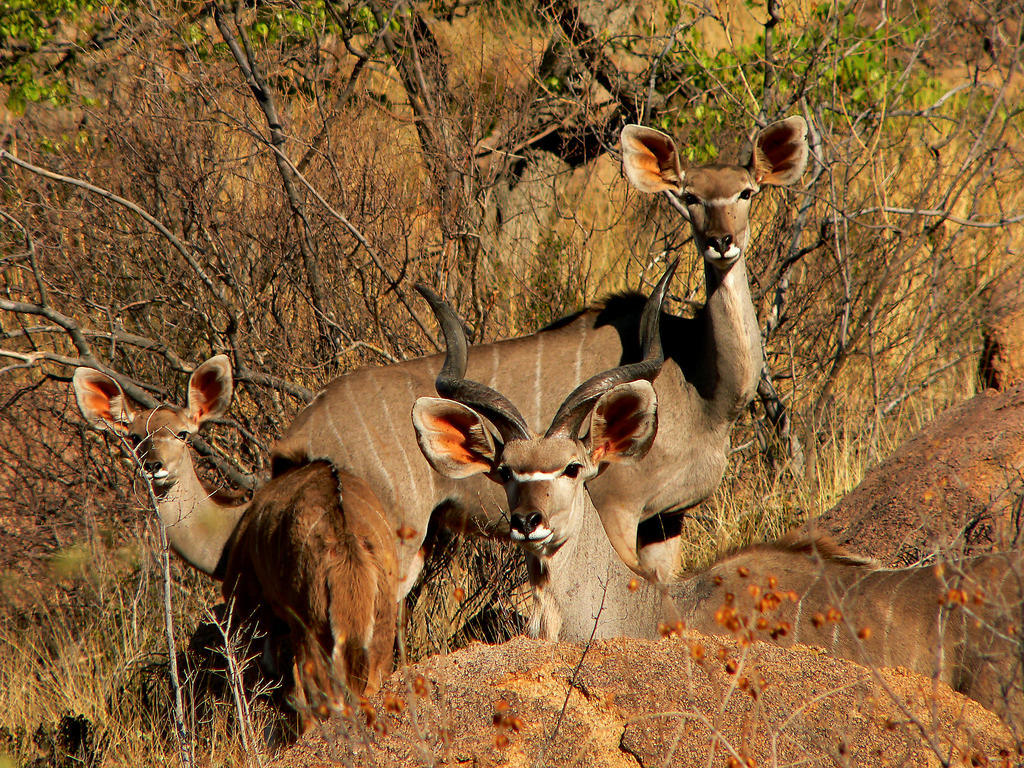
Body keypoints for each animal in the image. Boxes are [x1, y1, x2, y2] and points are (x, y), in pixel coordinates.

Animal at [71, 358, 395, 729]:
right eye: (136, 436)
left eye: (183, 433)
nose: (154, 466)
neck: (229, 533)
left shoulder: (249, 606)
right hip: (381, 619)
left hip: (309, 624)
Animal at [270, 117, 806, 589]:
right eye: (690, 196)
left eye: (747, 192)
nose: (721, 242)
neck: (701, 387)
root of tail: (299, 433)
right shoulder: (617, 507)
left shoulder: (666, 520)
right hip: (395, 539)